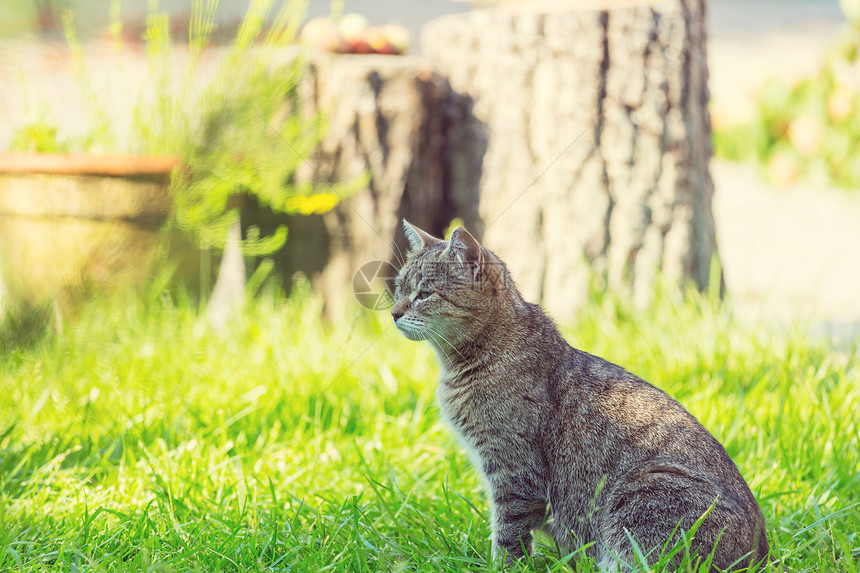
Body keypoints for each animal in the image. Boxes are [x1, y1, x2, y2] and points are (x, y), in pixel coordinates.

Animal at [394, 220, 768, 568]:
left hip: (640, 494)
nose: (395, 312)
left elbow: (508, 533)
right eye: (398, 288)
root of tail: (763, 555)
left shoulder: (516, 473)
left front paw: (501, 566)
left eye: (424, 293)